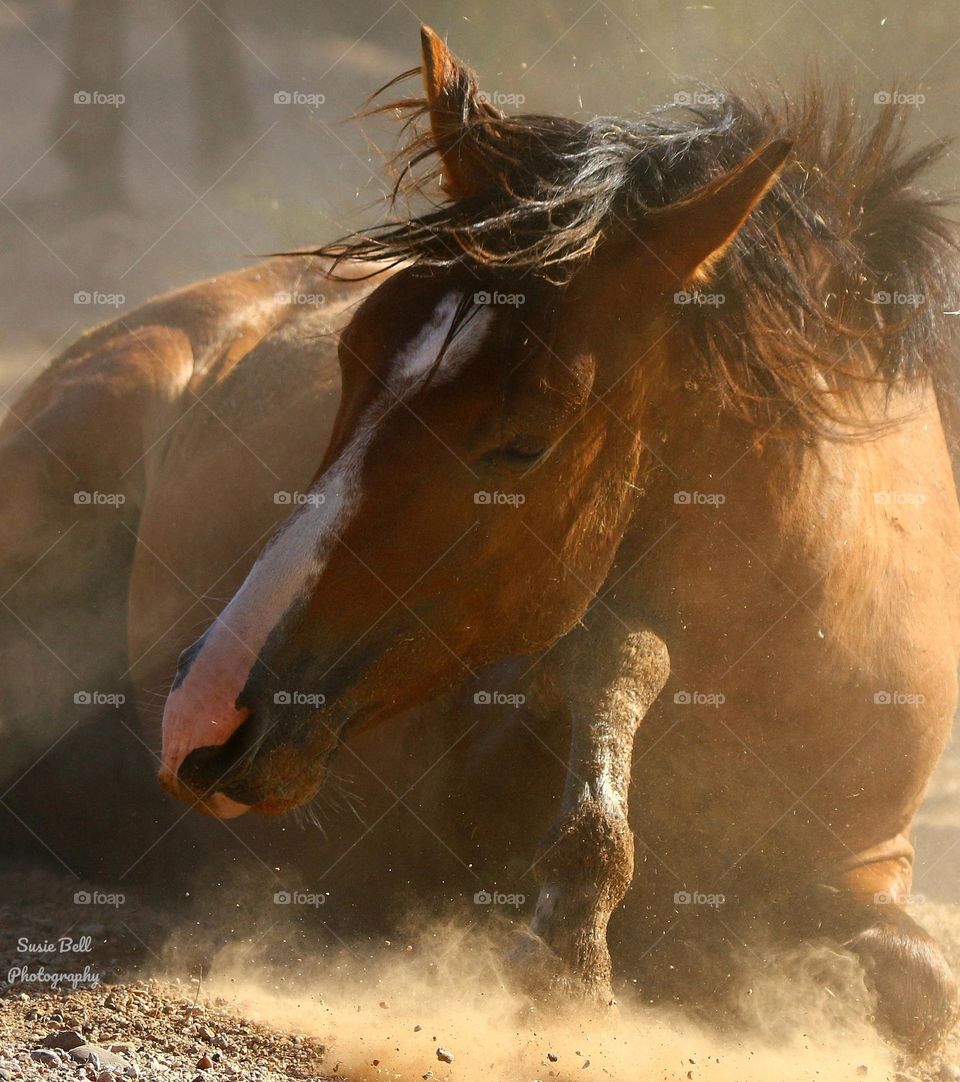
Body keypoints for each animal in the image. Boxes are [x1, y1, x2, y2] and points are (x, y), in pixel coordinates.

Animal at [2, 25, 960, 1053]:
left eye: (524, 441)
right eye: (348, 363)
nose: (201, 718)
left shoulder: (872, 868)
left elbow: (919, 981)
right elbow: (617, 661)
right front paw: (574, 946)